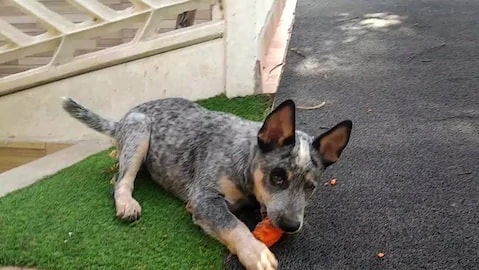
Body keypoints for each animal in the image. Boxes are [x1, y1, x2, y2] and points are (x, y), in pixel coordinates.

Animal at [61, 97, 352, 270]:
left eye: (310, 187)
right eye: (278, 176)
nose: (291, 225)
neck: (243, 158)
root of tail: (122, 118)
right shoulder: (203, 200)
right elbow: (232, 225)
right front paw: (256, 253)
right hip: (139, 131)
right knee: (121, 181)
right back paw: (126, 204)